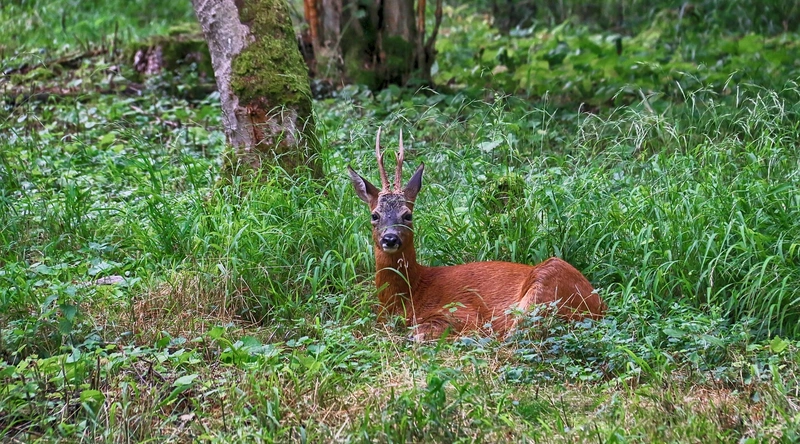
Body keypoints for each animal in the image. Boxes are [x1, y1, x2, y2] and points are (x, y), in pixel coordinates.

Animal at [347, 129, 607, 340]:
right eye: (375, 215)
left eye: (407, 215)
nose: (390, 238)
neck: (410, 296)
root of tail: (600, 306)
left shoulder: (463, 311)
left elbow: (419, 333)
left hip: (546, 280)